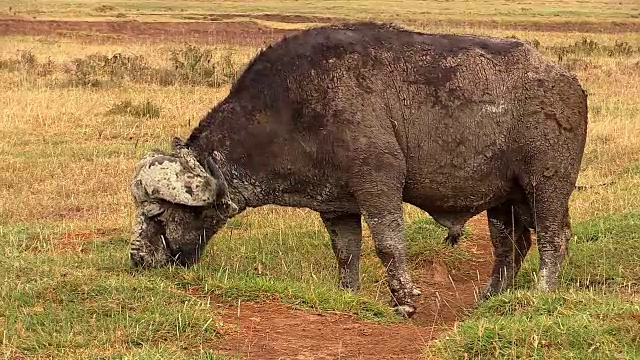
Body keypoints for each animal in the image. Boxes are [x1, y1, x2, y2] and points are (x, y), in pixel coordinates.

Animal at [129, 21, 592, 318]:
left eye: (157, 215)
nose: (136, 260)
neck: (290, 110)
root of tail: (569, 82)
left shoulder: (378, 185)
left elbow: (388, 244)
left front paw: (404, 298)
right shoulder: (337, 206)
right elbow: (346, 252)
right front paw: (347, 294)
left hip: (546, 186)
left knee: (553, 239)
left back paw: (542, 292)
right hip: (504, 200)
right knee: (509, 246)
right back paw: (492, 299)